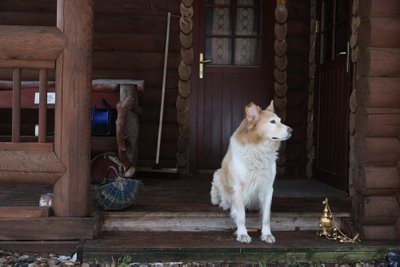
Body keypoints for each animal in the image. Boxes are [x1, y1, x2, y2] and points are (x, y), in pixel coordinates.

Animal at [211, 100, 292, 243]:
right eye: (272, 122)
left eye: (280, 121)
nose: (291, 130)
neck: (259, 149)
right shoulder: (238, 188)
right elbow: (241, 215)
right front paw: (243, 234)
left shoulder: (268, 188)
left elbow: (266, 216)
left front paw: (267, 234)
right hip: (218, 175)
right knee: (223, 196)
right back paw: (225, 204)